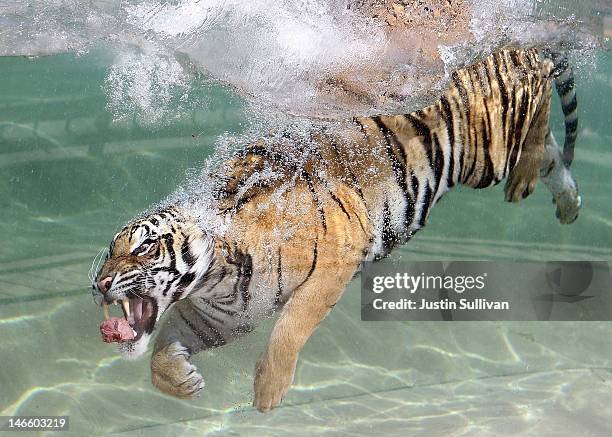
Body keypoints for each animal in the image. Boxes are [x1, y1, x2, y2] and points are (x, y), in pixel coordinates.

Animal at [92, 47, 584, 412]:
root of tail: (513, 47)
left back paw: (526, 178)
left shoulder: (334, 260)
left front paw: (268, 392)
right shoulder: (222, 315)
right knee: (553, 153)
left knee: (541, 103)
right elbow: (164, 343)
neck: (219, 275)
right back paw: (569, 204)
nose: (99, 284)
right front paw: (180, 381)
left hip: (489, 150)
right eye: (111, 250)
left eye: (144, 246)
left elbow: (290, 326)